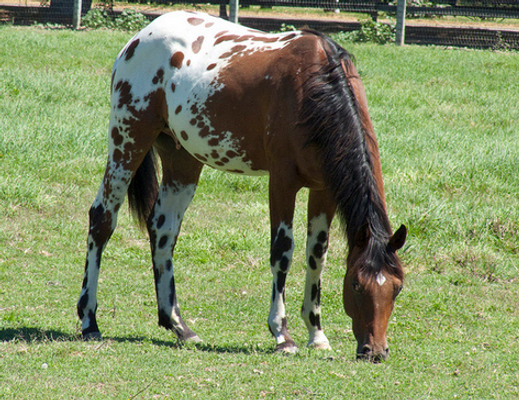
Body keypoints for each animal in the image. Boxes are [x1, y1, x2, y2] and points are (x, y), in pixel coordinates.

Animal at [78, 10, 410, 362]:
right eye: (357, 285)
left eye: (397, 287)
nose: (375, 351)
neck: (315, 88)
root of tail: (141, 37)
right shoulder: (282, 181)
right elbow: (283, 251)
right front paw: (282, 334)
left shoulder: (324, 190)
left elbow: (316, 254)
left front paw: (316, 333)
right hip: (128, 140)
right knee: (102, 219)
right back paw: (89, 321)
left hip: (182, 160)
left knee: (163, 230)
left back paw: (179, 326)